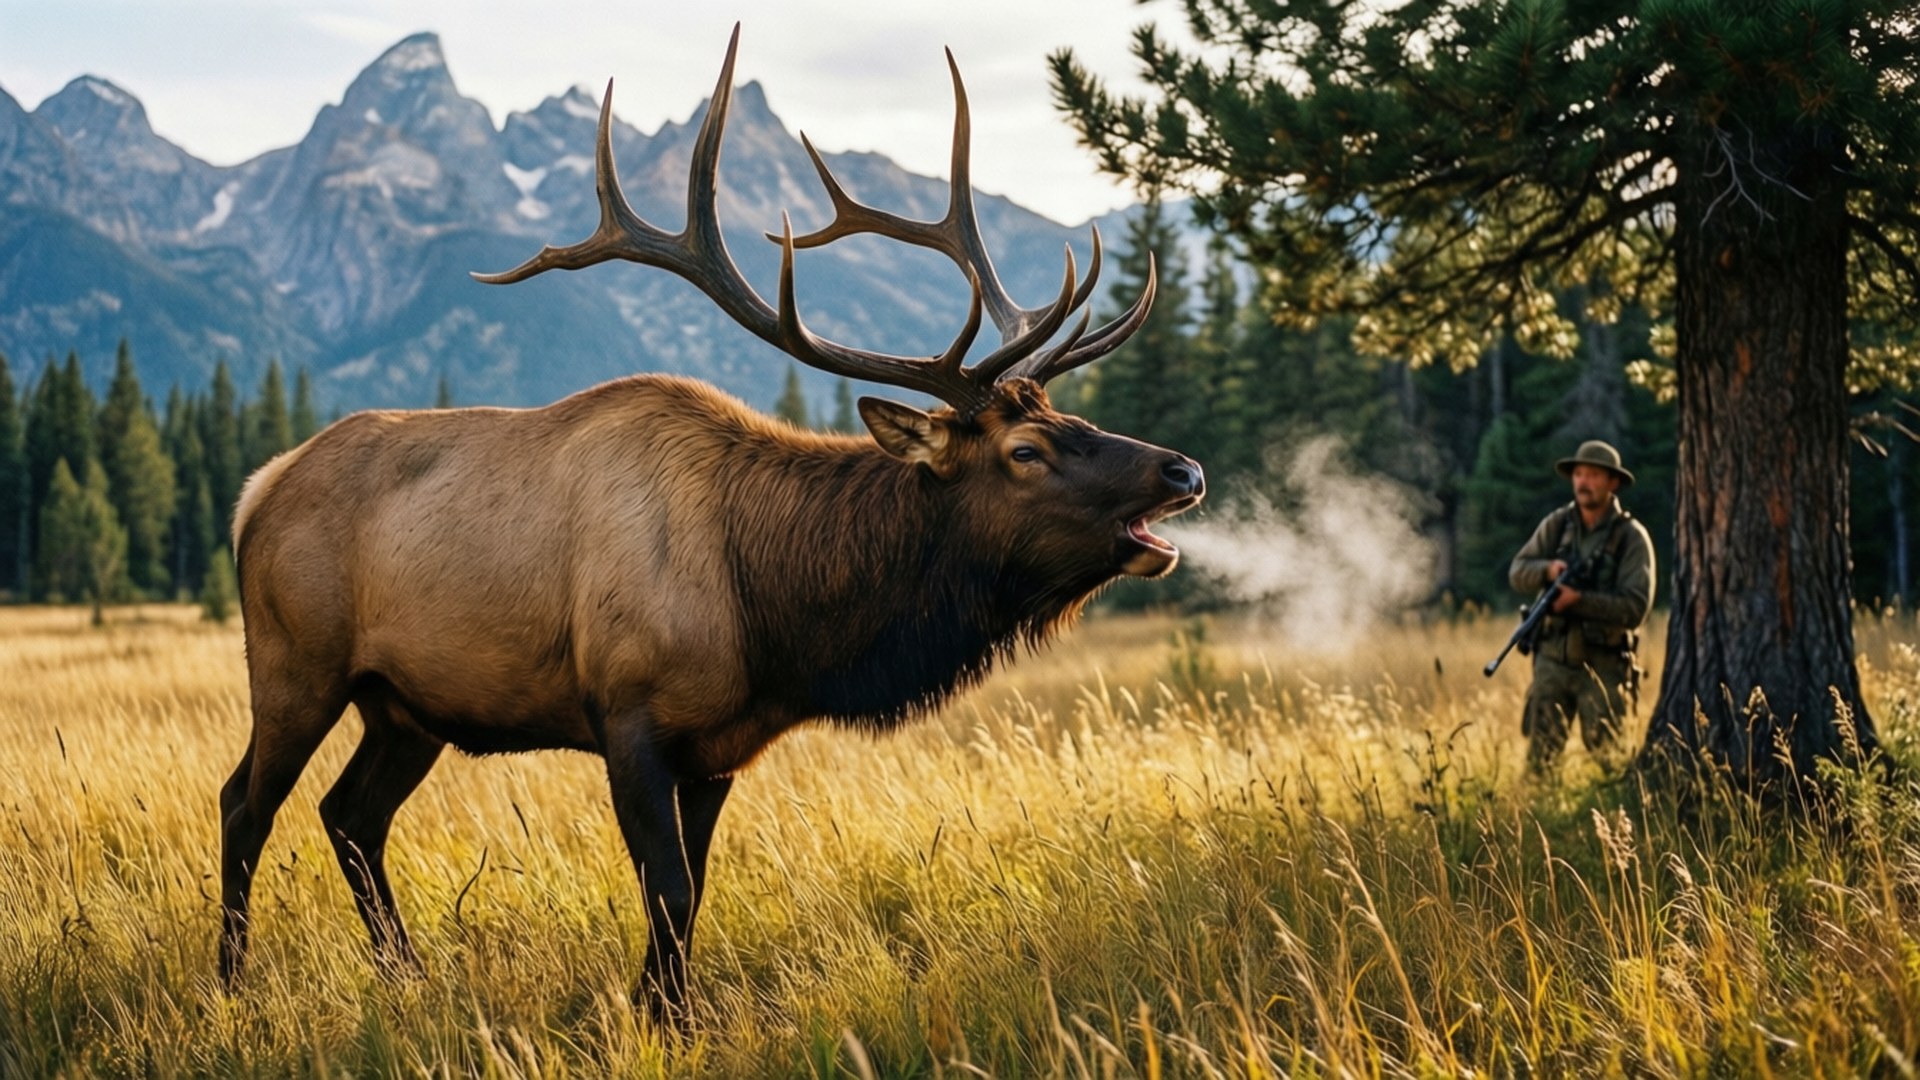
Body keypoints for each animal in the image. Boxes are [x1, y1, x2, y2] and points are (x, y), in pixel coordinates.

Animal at [219, 26, 1203, 1020]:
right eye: (1025, 451)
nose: (1184, 469)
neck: (773, 617)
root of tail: (257, 490)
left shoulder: (718, 746)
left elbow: (690, 892)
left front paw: (667, 1008)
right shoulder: (627, 715)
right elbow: (668, 886)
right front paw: (661, 1016)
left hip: (405, 706)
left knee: (351, 815)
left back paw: (408, 975)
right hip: (297, 662)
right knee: (246, 803)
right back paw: (231, 984)